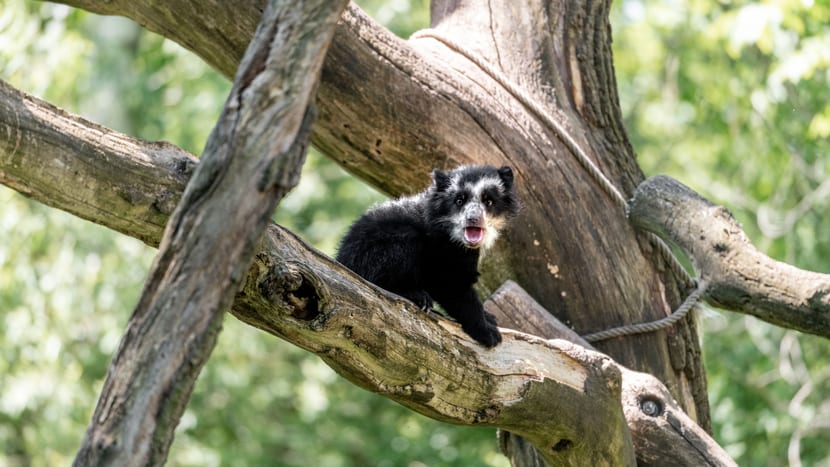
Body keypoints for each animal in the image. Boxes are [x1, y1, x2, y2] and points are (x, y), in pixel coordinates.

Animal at [336, 165, 520, 348]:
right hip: (381, 249)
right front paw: (488, 333)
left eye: (489, 201)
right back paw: (417, 296)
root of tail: (343, 259)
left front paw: (489, 317)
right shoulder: (441, 248)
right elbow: (450, 284)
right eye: (459, 200)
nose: (472, 219)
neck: (455, 236)